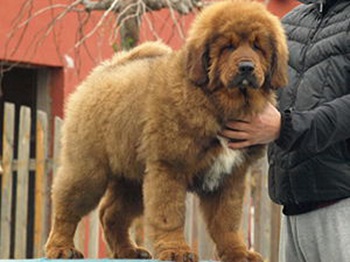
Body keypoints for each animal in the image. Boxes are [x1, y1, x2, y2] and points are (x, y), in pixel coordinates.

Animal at [45, 1, 288, 260]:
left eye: (257, 47)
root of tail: (104, 71)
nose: (246, 67)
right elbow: (170, 215)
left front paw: (238, 253)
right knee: (66, 207)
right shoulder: (169, 167)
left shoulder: (230, 177)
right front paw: (176, 250)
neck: (218, 104)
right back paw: (61, 247)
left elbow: (227, 222)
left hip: (133, 178)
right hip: (89, 171)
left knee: (111, 213)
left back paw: (128, 250)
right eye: (228, 47)